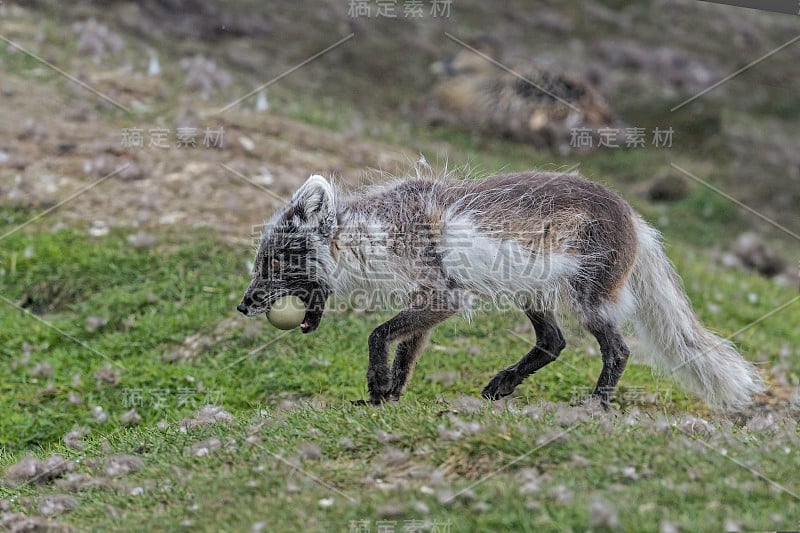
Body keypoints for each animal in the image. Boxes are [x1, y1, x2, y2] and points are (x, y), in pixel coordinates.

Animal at [238, 170, 764, 408]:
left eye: (273, 263)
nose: (243, 305)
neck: (378, 233)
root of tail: (635, 216)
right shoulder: (428, 300)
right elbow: (406, 351)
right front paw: (386, 398)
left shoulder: (445, 296)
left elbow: (378, 334)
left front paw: (376, 385)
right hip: (532, 294)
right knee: (553, 342)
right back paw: (502, 385)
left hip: (588, 300)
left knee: (617, 349)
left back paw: (596, 402)